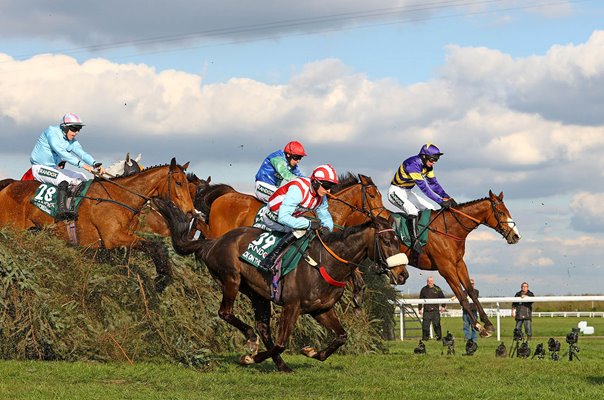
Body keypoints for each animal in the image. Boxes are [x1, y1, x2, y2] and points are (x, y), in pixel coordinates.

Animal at [0, 158, 196, 292]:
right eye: (179, 183)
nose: (190, 212)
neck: (120, 196)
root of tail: (9, 185)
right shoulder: (113, 238)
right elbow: (155, 246)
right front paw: (162, 277)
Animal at [151, 197, 408, 372]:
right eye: (387, 240)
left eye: (399, 240)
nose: (403, 274)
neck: (326, 261)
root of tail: (213, 242)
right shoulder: (292, 306)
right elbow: (282, 342)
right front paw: (250, 358)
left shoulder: (321, 309)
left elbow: (341, 337)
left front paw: (311, 351)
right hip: (231, 279)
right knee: (226, 313)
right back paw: (252, 341)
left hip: (257, 293)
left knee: (263, 327)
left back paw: (280, 364)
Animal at [402, 191, 520, 338]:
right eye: (501, 212)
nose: (516, 236)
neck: (448, 229)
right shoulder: (446, 268)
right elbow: (462, 297)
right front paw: (478, 326)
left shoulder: (459, 264)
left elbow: (471, 292)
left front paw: (488, 324)